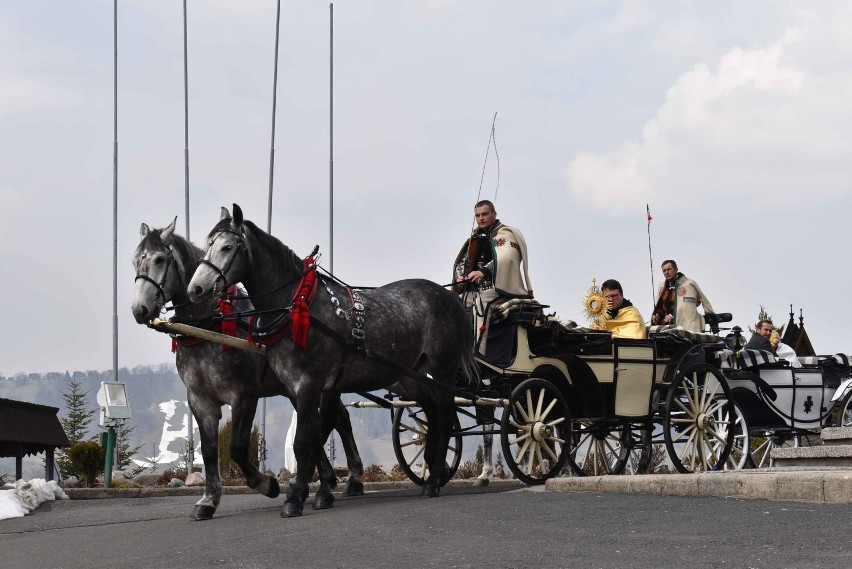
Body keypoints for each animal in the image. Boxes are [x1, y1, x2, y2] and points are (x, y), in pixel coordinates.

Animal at [131, 217, 364, 520]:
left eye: (160, 259)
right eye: (135, 261)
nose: (139, 309)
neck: (211, 325)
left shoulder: (243, 396)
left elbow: (238, 448)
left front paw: (267, 484)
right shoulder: (200, 400)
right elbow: (209, 451)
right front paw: (208, 500)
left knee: (337, 420)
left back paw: (350, 479)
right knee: (321, 426)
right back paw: (327, 482)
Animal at [189, 204, 476, 516]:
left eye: (227, 247)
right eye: (207, 245)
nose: (196, 289)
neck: (300, 305)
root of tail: (450, 296)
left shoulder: (309, 384)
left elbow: (304, 441)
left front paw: (295, 497)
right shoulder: (299, 388)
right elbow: (315, 436)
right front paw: (319, 491)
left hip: (443, 369)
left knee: (445, 415)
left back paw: (433, 481)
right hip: (413, 375)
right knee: (433, 413)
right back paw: (433, 471)